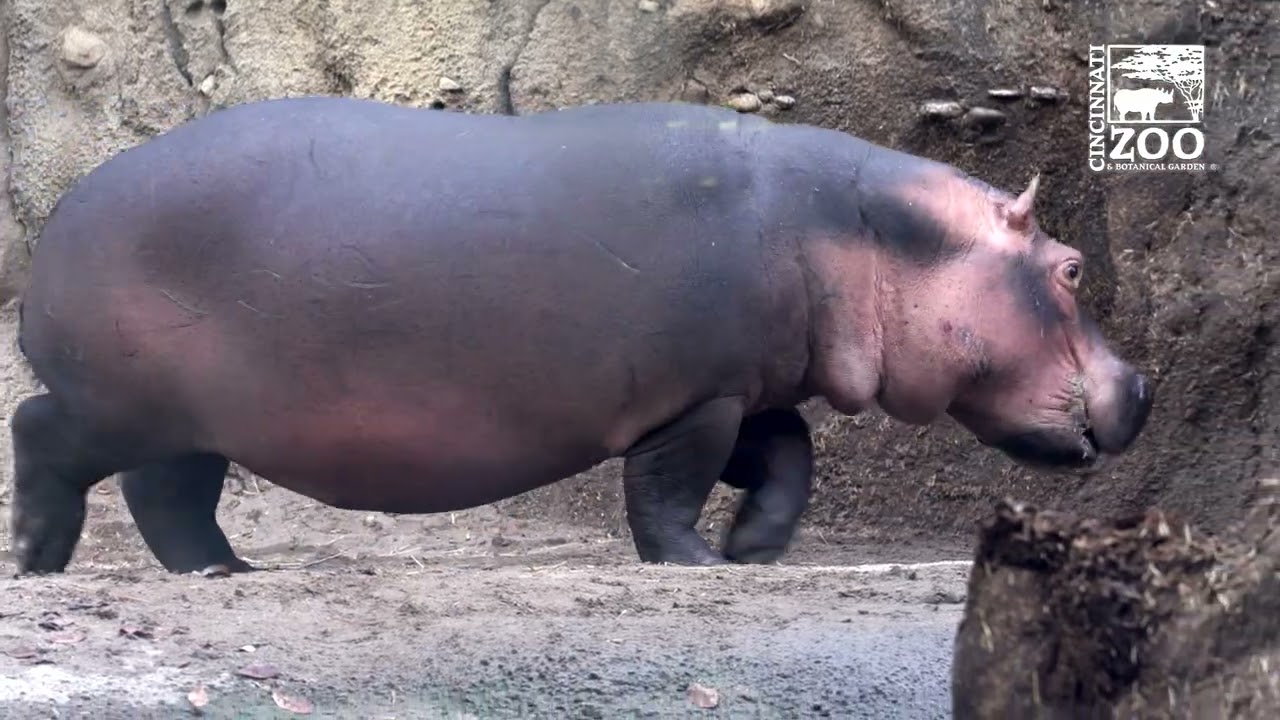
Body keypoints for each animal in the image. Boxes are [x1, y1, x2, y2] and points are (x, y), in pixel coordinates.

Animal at [8, 97, 1153, 576]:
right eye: (1069, 268)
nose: (1142, 386)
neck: (867, 234)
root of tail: (62, 215)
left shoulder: (738, 384)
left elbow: (788, 454)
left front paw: (755, 548)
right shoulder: (695, 399)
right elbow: (667, 488)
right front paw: (694, 562)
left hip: (189, 419)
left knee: (170, 498)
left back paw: (225, 574)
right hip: (122, 404)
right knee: (40, 432)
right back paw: (38, 556)